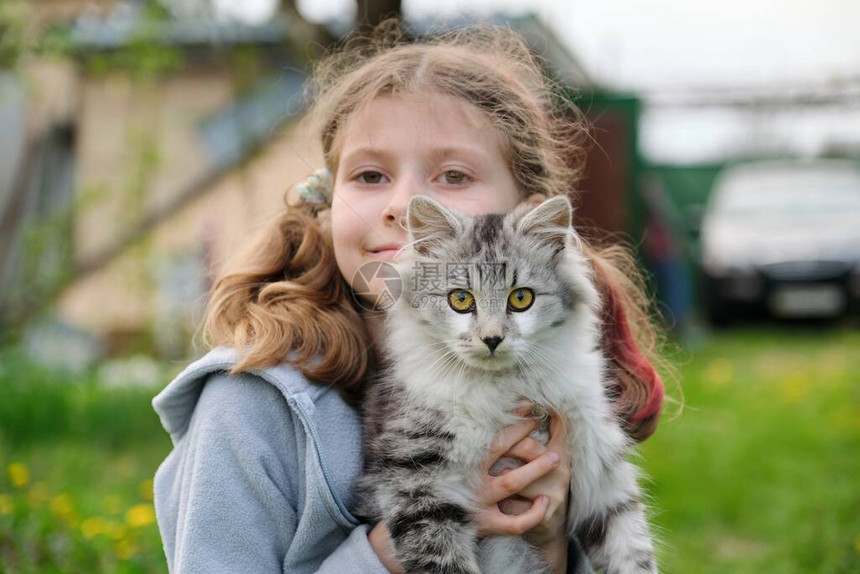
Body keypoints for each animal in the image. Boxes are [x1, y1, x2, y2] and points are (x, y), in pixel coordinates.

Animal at [352, 196, 656, 572]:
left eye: (521, 298)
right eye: (461, 300)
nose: (492, 339)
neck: (505, 387)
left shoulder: (601, 467)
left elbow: (632, 551)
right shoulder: (415, 478)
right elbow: (445, 561)